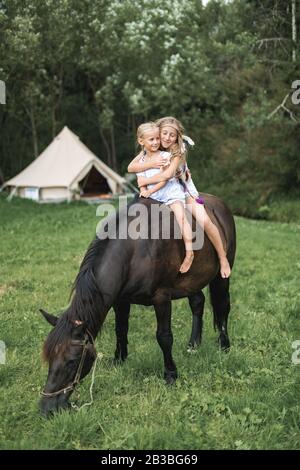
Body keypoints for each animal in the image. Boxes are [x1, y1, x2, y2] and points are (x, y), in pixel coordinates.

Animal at [40, 194, 237, 414]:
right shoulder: (121, 300)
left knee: (223, 306)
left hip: (222, 274)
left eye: (72, 361)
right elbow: (120, 330)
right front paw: (119, 359)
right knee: (198, 303)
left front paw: (170, 374)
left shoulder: (162, 297)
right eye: (49, 358)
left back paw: (224, 344)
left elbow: (164, 337)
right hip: (192, 280)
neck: (135, 250)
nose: (46, 408)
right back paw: (193, 344)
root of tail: (219, 203)